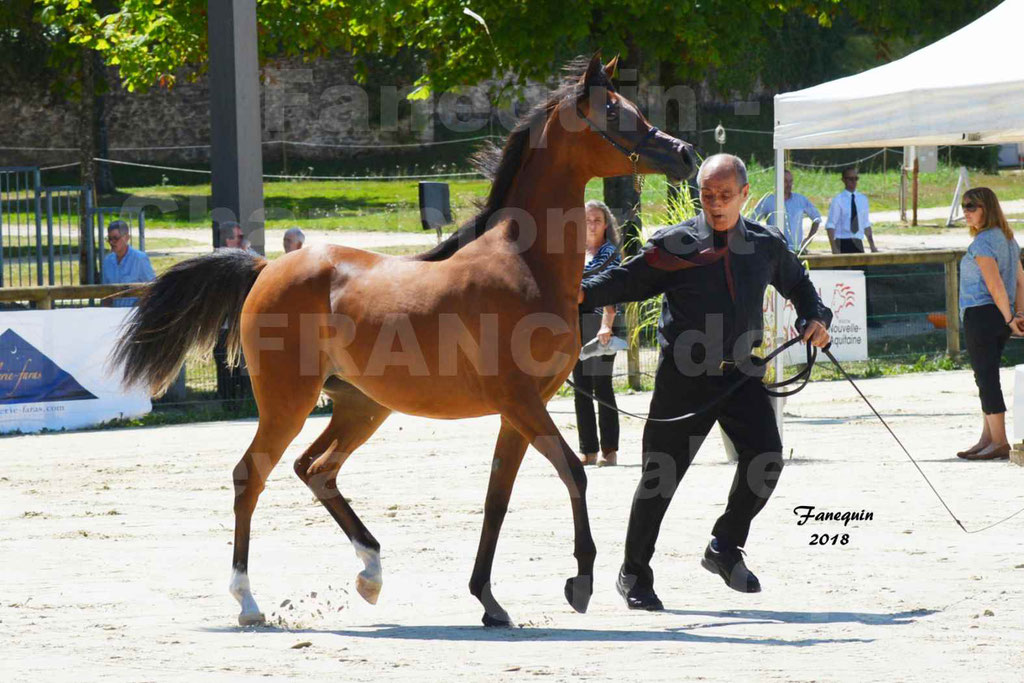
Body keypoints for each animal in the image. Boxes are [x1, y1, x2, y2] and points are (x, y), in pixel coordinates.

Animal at [114, 56, 696, 626]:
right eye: (616, 113)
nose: (685, 155)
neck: (523, 262)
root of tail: (267, 268)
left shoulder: (519, 410)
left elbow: (497, 498)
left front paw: (488, 601)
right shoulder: (522, 401)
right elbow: (574, 472)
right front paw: (580, 583)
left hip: (361, 406)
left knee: (315, 469)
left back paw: (370, 573)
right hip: (288, 402)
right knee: (250, 476)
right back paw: (248, 602)